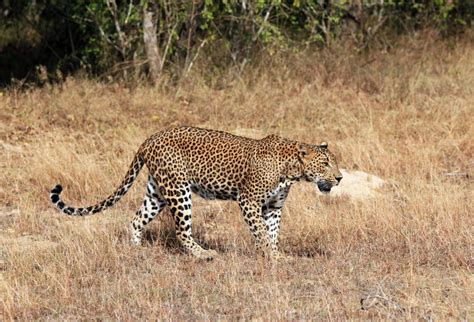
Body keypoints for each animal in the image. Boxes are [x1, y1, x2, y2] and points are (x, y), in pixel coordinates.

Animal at [50, 126, 342, 260]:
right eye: (326, 163)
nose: (339, 178)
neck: (292, 170)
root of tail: (150, 138)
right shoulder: (248, 201)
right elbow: (260, 232)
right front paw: (272, 256)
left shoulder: (273, 207)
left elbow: (272, 232)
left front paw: (276, 255)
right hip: (179, 191)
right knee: (181, 231)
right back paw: (204, 254)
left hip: (157, 192)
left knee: (136, 219)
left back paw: (137, 251)